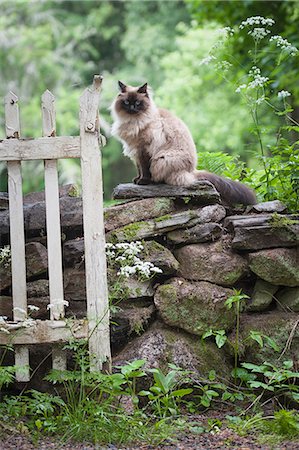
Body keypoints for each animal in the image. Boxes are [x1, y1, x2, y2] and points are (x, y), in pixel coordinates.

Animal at [111, 81, 256, 205]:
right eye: (126, 102)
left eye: (137, 103)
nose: (132, 107)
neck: (134, 121)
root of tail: (191, 171)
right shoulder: (135, 151)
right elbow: (139, 169)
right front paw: (136, 180)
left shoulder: (143, 150)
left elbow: (144, 169)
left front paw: (142, 182)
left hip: (161, 160)